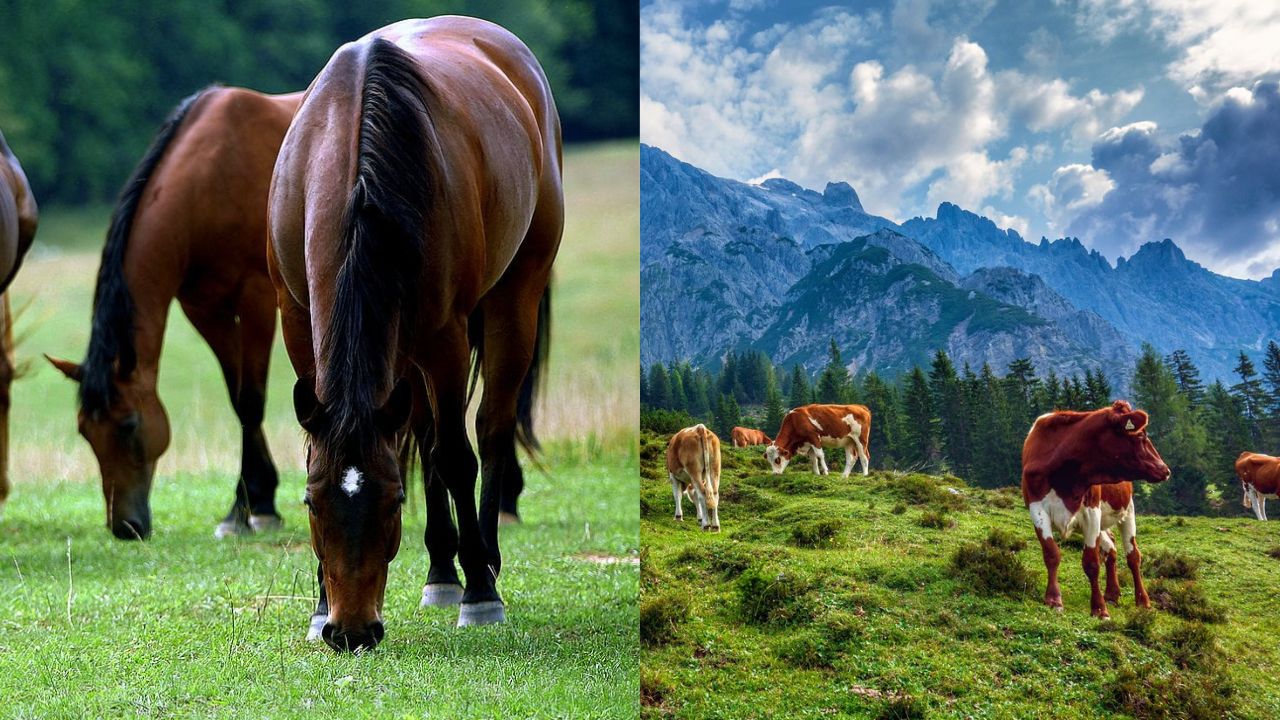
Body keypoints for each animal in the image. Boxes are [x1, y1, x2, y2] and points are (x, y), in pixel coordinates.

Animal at [45, 87, 302, 538]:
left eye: (129, 425)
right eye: (84, 431)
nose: (125, 527)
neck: (211, 180)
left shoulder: (255, 299)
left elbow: (251, 400)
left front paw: (254, 509)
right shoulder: (206, 309)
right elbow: (237, 400)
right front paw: (250, 502)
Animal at [268, 18, 560, 650]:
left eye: (394, 499)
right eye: (311, 501)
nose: (351, 632)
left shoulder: (445, 336)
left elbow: (455, 456)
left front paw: (481, 594)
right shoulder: (297, 320)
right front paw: (318, 605)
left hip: (512, 298)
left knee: (490, 429)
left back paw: (482, 563)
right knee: (424, 433)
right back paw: (441, 571)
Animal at [1018, 397, 1172, 617]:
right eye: (1141, 435)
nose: (1165, 469)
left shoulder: (1091, 511)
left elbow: (1091, 562)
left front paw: (1099, 608)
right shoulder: (1036, 508)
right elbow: (1051, 554)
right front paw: (1054, 599)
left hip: (1127, 510)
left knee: (1133, 555)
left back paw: (1143, 600)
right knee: (1111, 547)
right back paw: (1112, 593)